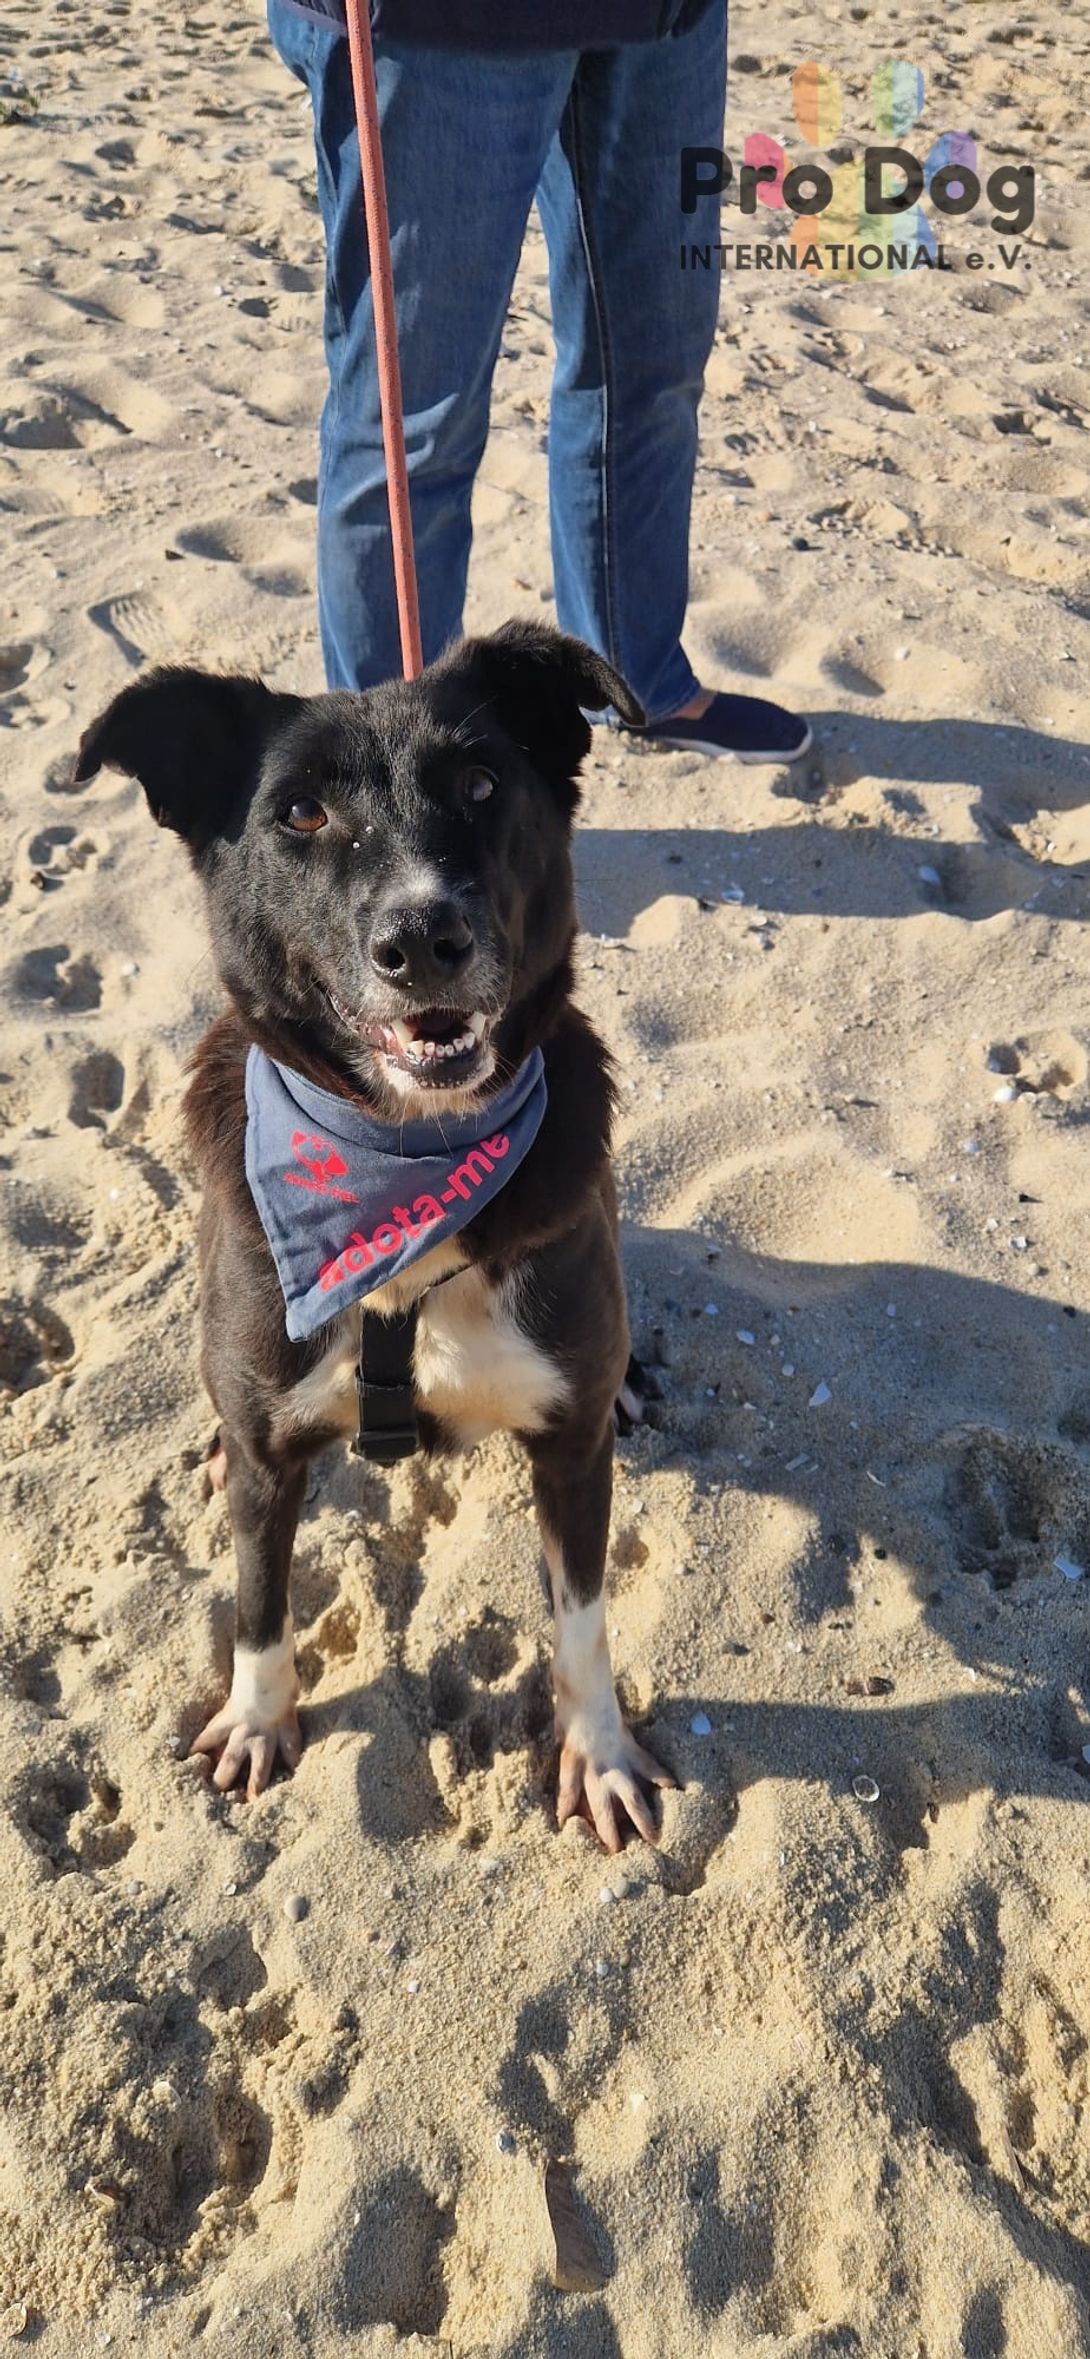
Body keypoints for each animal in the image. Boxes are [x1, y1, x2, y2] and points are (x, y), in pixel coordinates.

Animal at [75, 621, 674, 1853]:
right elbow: (261, 1603)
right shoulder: (273, 1451)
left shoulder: (567, 1448)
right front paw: (258, 1721)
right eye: (300, 814)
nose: (422, 936)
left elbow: (583, 1621)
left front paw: (598, 1753)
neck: (404, 1160)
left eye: (483, 783)